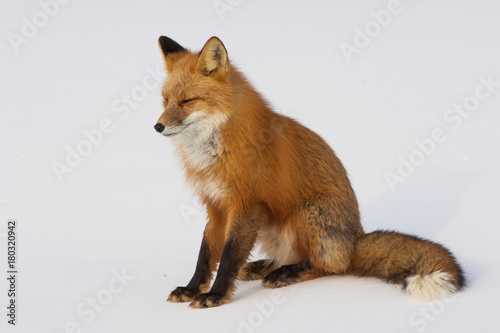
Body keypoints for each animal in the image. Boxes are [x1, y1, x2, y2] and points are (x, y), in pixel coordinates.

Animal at [153, 35, 464, 308]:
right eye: (165, 100)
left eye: (188, 101)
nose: (157, 126)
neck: (214, 150)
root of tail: (355, 239)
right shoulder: (216, 205)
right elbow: (205, 254)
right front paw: (192, 289)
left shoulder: (245, 204)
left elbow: (229, 256)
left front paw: (215, 296)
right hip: (271, 227)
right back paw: (266, 266)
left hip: (308, 212)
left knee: (329, 265)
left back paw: (286, 273)